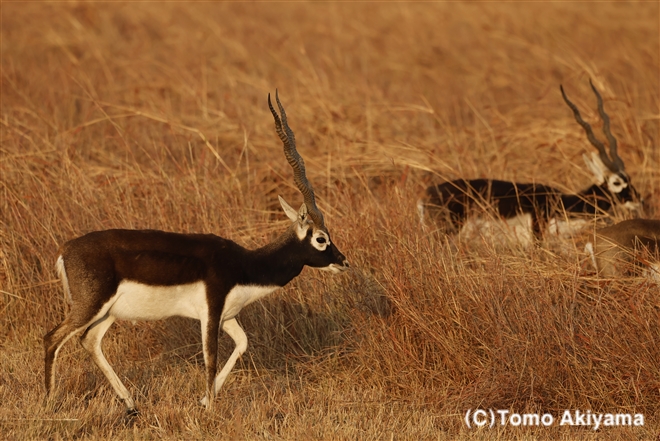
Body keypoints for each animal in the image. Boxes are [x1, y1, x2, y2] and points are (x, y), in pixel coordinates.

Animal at [44, 91, 350, 414]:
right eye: (321, 239)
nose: (343, 262)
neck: (246, 265)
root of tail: (66, 249)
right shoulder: (210, 314)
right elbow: (211, 359)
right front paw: (211, 409)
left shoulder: (228, 316)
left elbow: (242, 344)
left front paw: (204, 399)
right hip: (90, 305)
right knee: (52, 339)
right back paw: (50, 403)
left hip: (108, 312)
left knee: (89, 341)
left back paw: (130, 403)